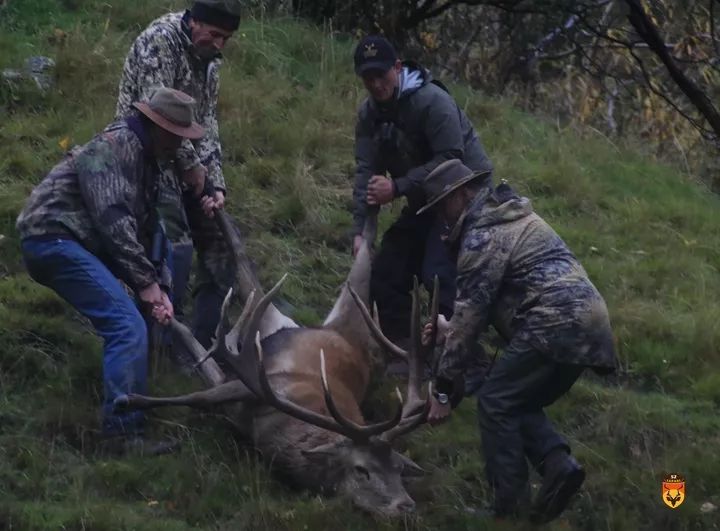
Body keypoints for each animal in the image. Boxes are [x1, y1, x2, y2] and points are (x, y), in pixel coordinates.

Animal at [115, 210, 436, 516]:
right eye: (361, 469)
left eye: (398, 469)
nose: (406, 506)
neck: (275, 431)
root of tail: (335, 331)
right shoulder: (264, 383)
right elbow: (198, 396)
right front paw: (130, 400)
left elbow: (205, 379)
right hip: (275, 315)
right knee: (246, 265)